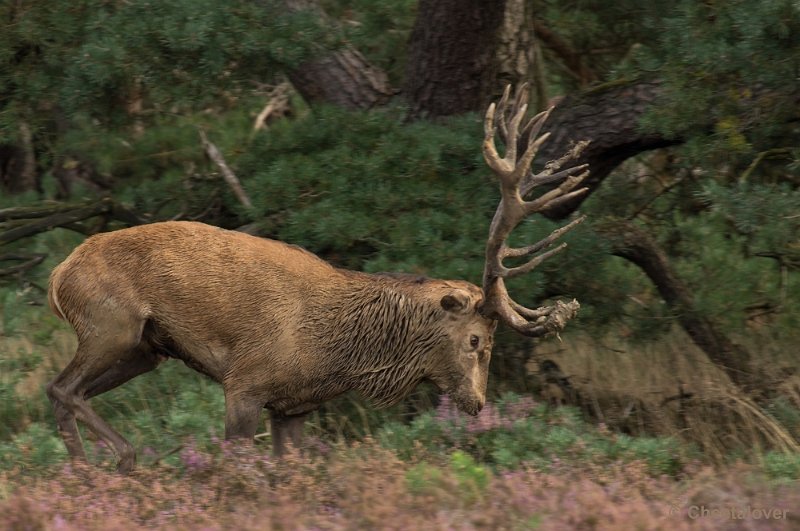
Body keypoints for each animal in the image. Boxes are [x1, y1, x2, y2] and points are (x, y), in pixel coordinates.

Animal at [47, 86, 592, 474]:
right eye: (476, 340)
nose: (477, 404)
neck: (339, 356)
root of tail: (58, 274)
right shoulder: (245, 383)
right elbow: (234, 466)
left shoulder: (294, 407)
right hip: (110, 324)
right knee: (62, 388)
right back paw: (109, 463)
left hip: (147, 349)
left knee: (69, 391)